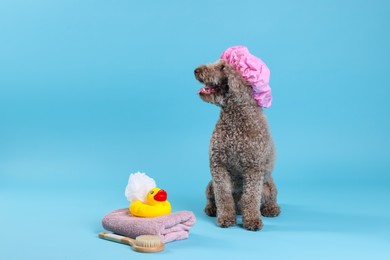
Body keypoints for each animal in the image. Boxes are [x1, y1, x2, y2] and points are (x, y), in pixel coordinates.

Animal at [194, 45, 280, 231]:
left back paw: (271, 208)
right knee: (211, 196)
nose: (196, 70)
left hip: (269, 186)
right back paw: (212, 209)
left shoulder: (253, 168)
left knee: (268, 198)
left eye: (222, 67)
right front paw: (226, 218)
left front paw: (252, 220)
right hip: (210, 184)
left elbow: (251, 197)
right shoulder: (218, 164)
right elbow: (223, 194)